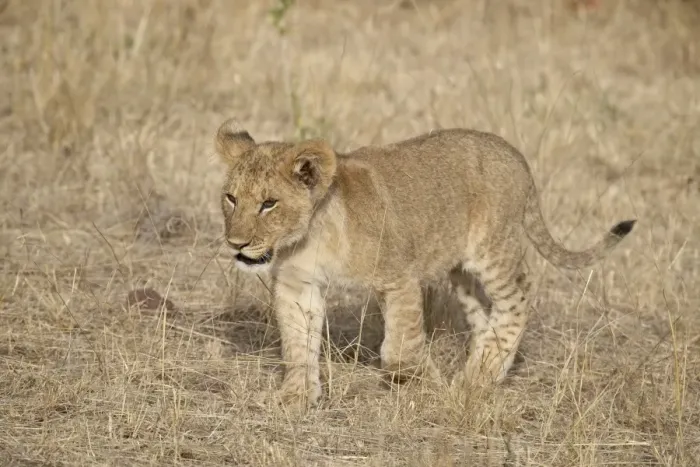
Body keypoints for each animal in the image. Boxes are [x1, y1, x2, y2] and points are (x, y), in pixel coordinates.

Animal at [213, 119, 635, 409]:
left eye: (269, 204)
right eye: (231, 198)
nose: (236, 244)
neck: (311, 235)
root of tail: (512, 152)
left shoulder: (397, 277)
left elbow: (402, 346)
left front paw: (425, 383)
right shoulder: (297, 286)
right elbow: (298, 344)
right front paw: (297, 396)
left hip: (493, 250)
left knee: (519, 296)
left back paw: (476, 379)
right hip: (460, 268)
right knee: (484, 312)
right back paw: (483, 367)